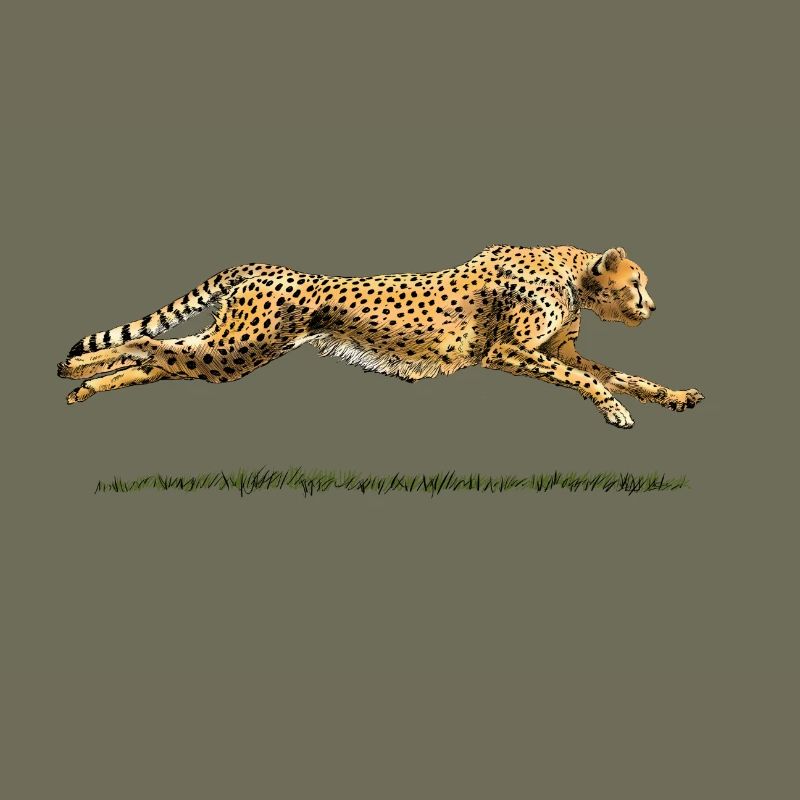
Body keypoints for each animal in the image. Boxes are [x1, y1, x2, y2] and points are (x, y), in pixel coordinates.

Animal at [57, 244, 704, 428]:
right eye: (637, 283)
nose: (653, 306)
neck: (572, 274)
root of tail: (265, 266)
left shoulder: (555, 349)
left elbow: (619, 374)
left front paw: (674, 396)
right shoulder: (506, 351)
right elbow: (581, 378)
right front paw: (615, 411)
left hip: (228, 353)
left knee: (162, 359)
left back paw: (81, 387)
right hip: (237, 349)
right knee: (151, 346)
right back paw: (74, 369)